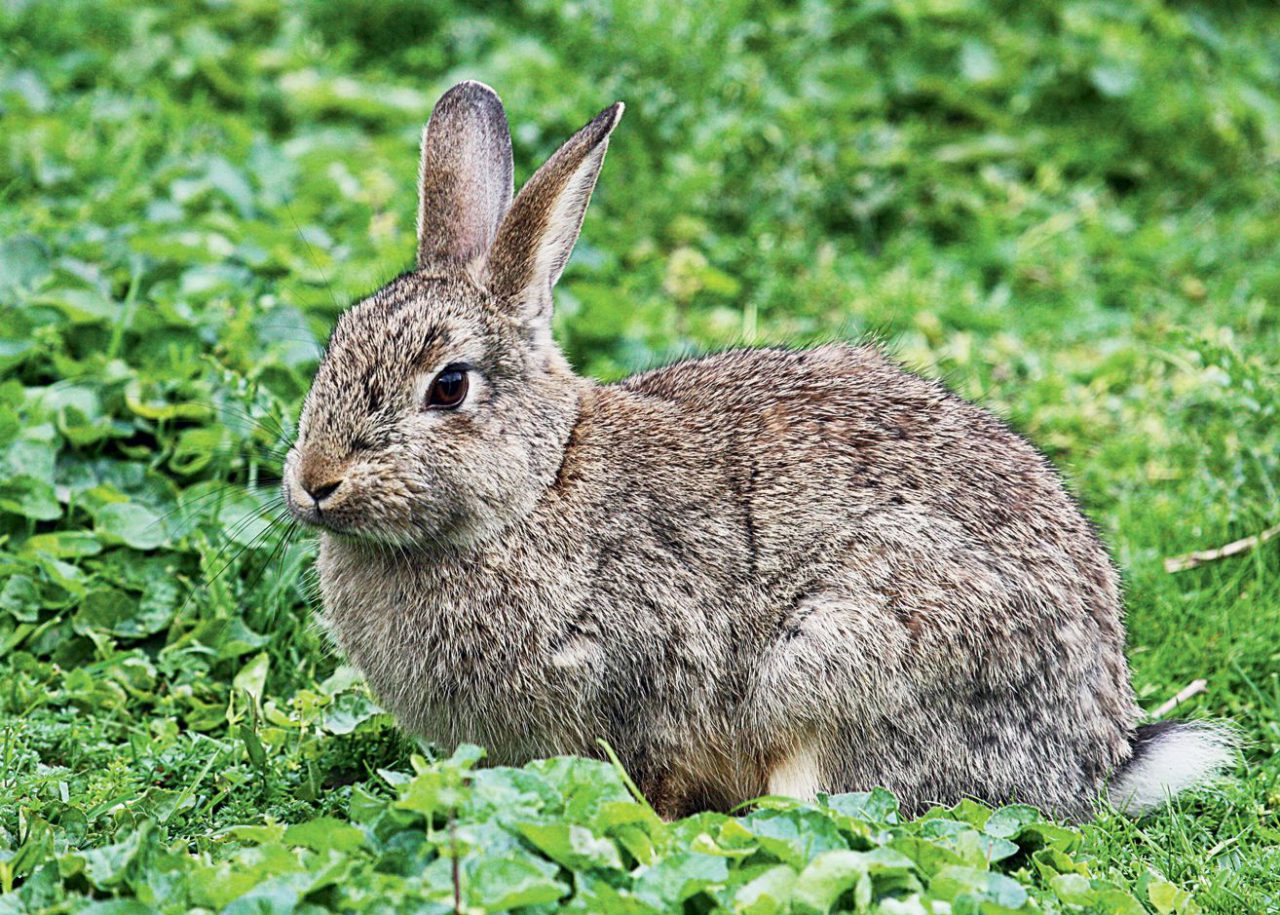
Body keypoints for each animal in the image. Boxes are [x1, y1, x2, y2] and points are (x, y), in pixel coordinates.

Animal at [285, 80, 1233, 824]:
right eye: (334, 345)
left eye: (448, 386)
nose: (315, 483)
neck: (537, 487)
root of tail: (1092, 758)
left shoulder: (649, 689)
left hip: (847, 664)